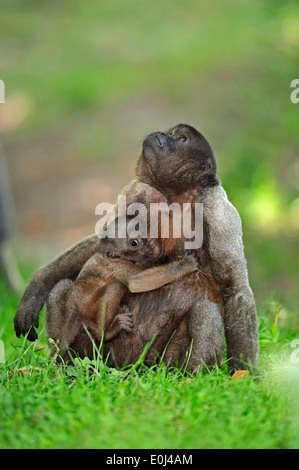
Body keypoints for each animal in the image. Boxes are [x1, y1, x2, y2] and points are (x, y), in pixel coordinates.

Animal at [45, 217, 198, 356]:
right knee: (115, 287)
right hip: (88, 307)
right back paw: (105, 333)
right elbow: (135, 282)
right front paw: (183, 266)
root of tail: (73, 308)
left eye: (143, 237)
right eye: (134, 243)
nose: (149, 249)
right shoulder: (118, 264)